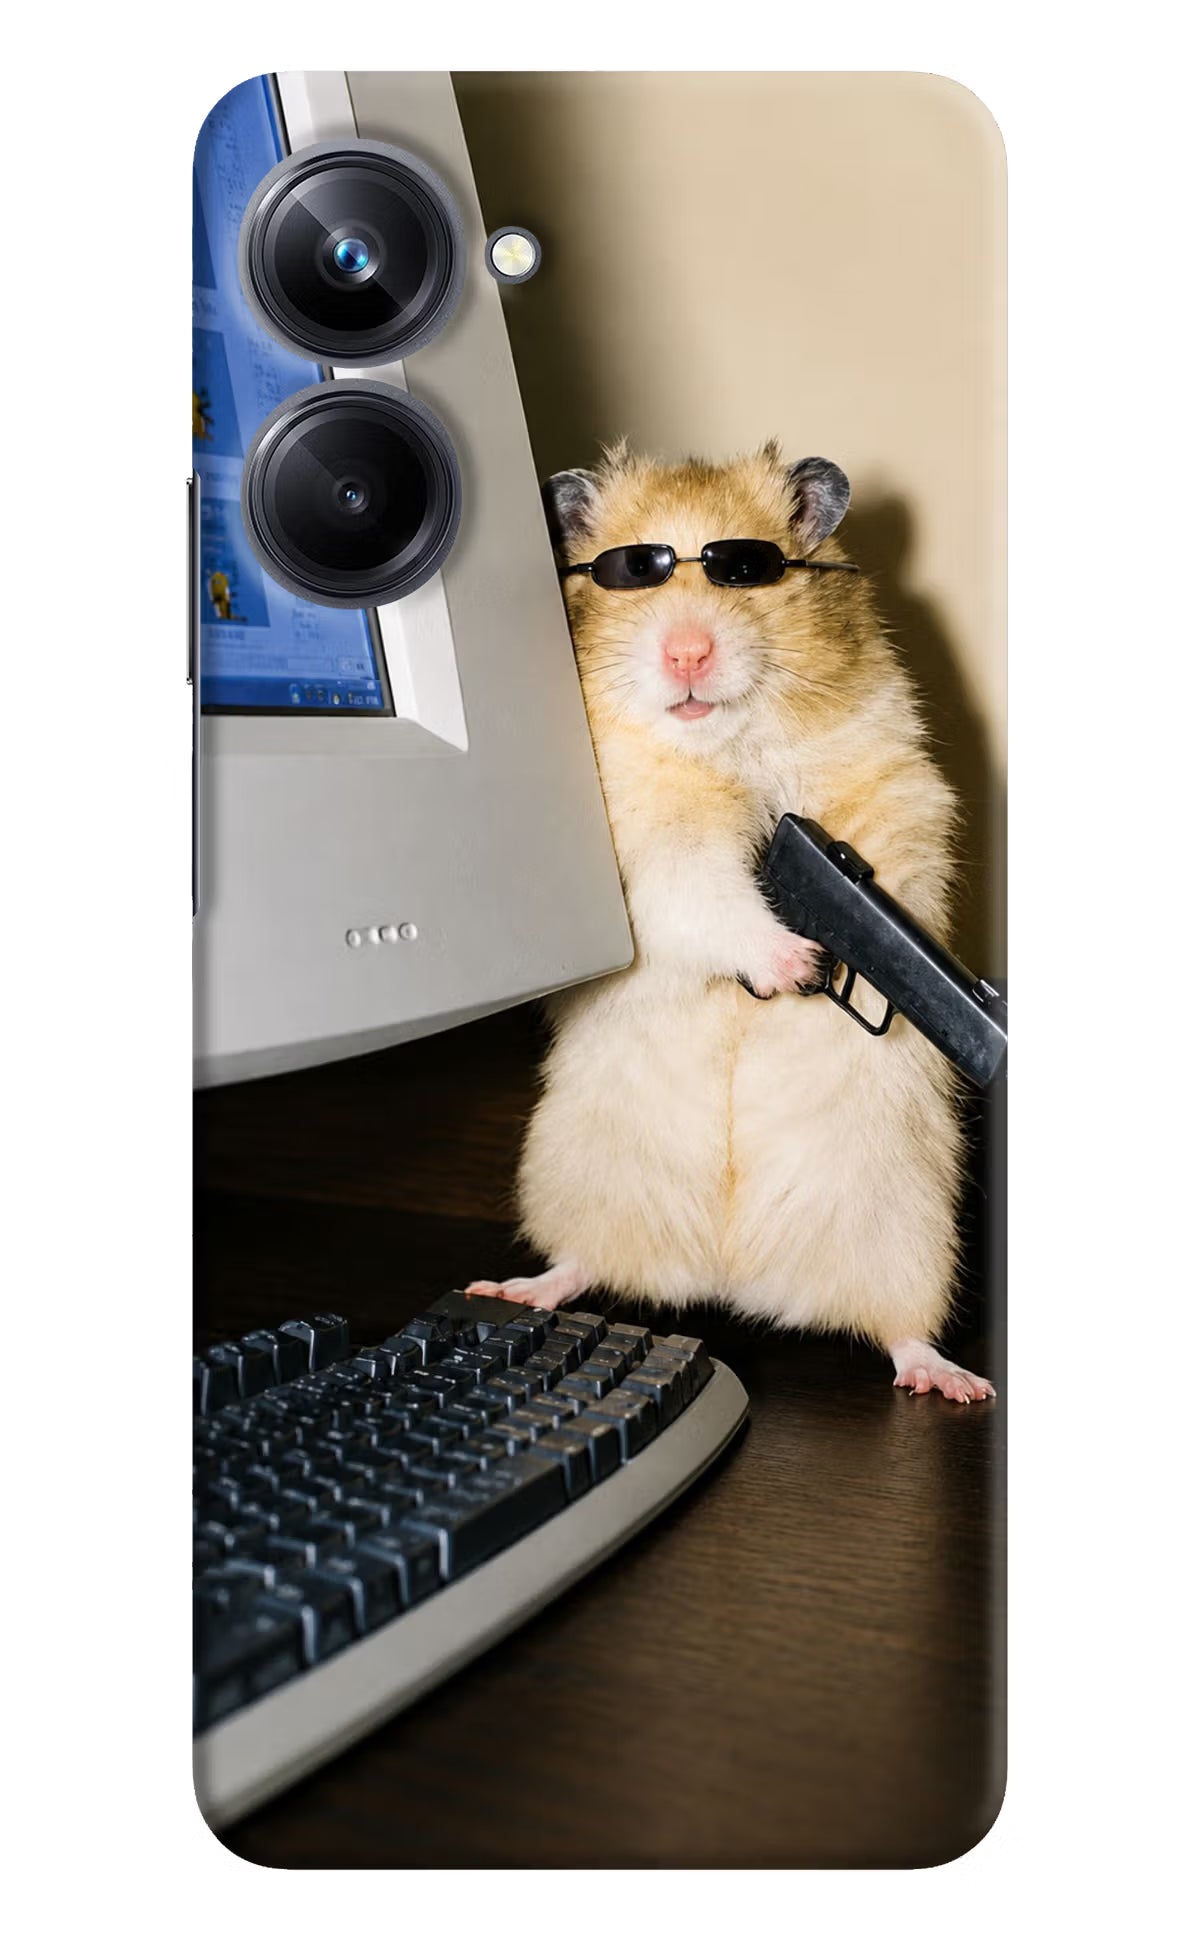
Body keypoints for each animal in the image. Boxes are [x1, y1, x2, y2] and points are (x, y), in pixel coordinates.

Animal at [468, 442, 993, 1403]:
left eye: (746, 570)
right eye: (633, 572)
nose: (686, 653)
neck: (724, 746)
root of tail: (731, 1276)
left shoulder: (896, 789)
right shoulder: (647, 852)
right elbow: (707, 895)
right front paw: (796, 964)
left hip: (909, 1229)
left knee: (900, 1329)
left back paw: (953, 1381)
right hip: (579, 1176)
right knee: (582, 1263)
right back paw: (514, 1288)